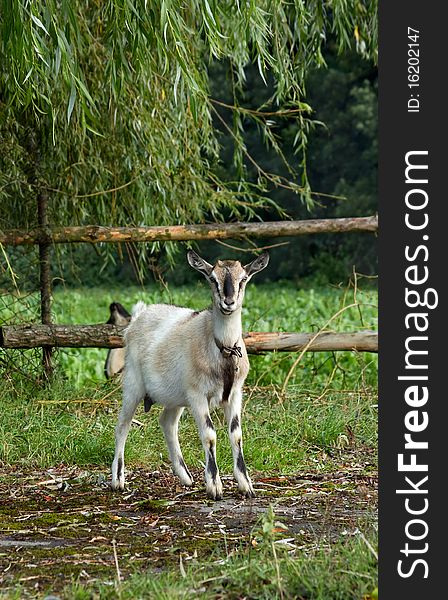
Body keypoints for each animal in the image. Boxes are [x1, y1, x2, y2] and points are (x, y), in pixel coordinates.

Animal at [111, 251, 270, 500]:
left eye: (243, 279)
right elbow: (209, 434)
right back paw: (118, 480)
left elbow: (236, 434)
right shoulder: (197, 394)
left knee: (167, 422)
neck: (222, 349)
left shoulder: (235, 394)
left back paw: (185, 476)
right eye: (212, 279)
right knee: (122, 425)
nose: (228, 302)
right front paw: (214, 486)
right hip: (133, 384)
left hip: (176, 396)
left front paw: (246, 485)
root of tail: (139, 316)